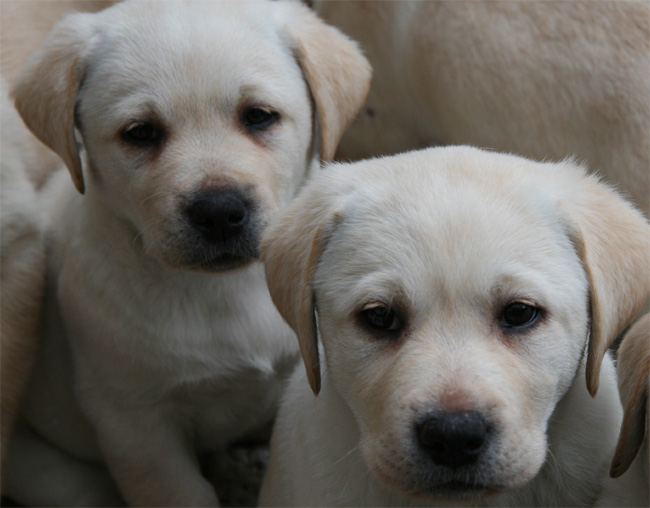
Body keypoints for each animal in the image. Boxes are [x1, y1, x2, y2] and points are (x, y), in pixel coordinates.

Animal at [1, 1, 370, 506]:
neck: (229, 289)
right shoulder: (136, 423)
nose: (218, 212)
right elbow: (182, 493)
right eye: (140, 132)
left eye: (259, 116)